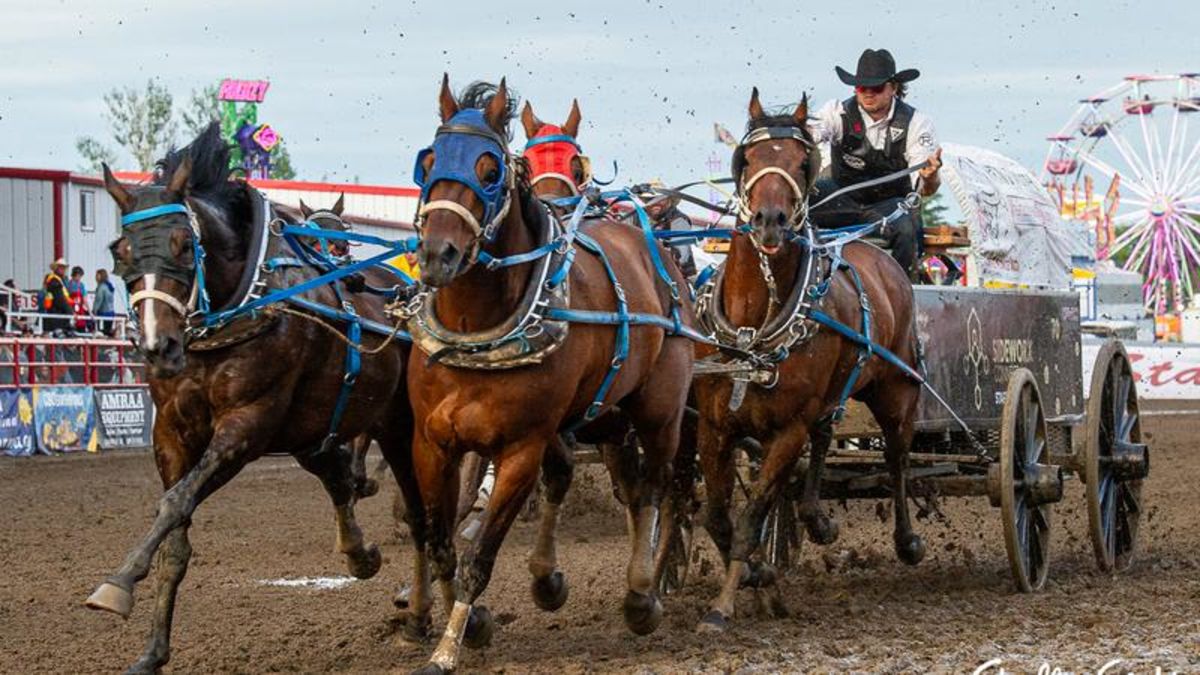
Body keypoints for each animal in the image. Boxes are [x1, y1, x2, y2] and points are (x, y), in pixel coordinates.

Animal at [85, 123, 422, 667]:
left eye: (184, 244)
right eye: (121, 250)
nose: (158, 347)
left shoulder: (247, 427)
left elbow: (175, 504)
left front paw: (118, 582)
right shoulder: (171, 432)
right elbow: (176, 536)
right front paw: (153, 650)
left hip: (398, 424)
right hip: (313, 426)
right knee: (337, 477)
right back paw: (360, 552)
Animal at [405, 76, 696, 667]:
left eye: (490, 169)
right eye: (428, 162)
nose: (438, 254)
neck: (478, 328)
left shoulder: (521, 449)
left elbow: (478, 559)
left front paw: (447, 649)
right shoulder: (432, 443)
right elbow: (444, 543)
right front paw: (473, 623)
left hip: (659, 410)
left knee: (655, 487)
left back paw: (642, 595)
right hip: (603, 416)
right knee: (616, 483)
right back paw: (550, 579)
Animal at [691, 86, 921, 629]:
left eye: (801, 161)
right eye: (748, 158)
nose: (770, 222)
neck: (753, 320)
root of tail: (878, 254)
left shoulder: (785, 431)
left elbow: (751, 516)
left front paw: (725, 603)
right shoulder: (714, 425)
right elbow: (718, 516)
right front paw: (759, 576)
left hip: (896, 390)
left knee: (898, 456)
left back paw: (907, 541)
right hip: (834, 390)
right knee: (824, 438)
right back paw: (817, 519)